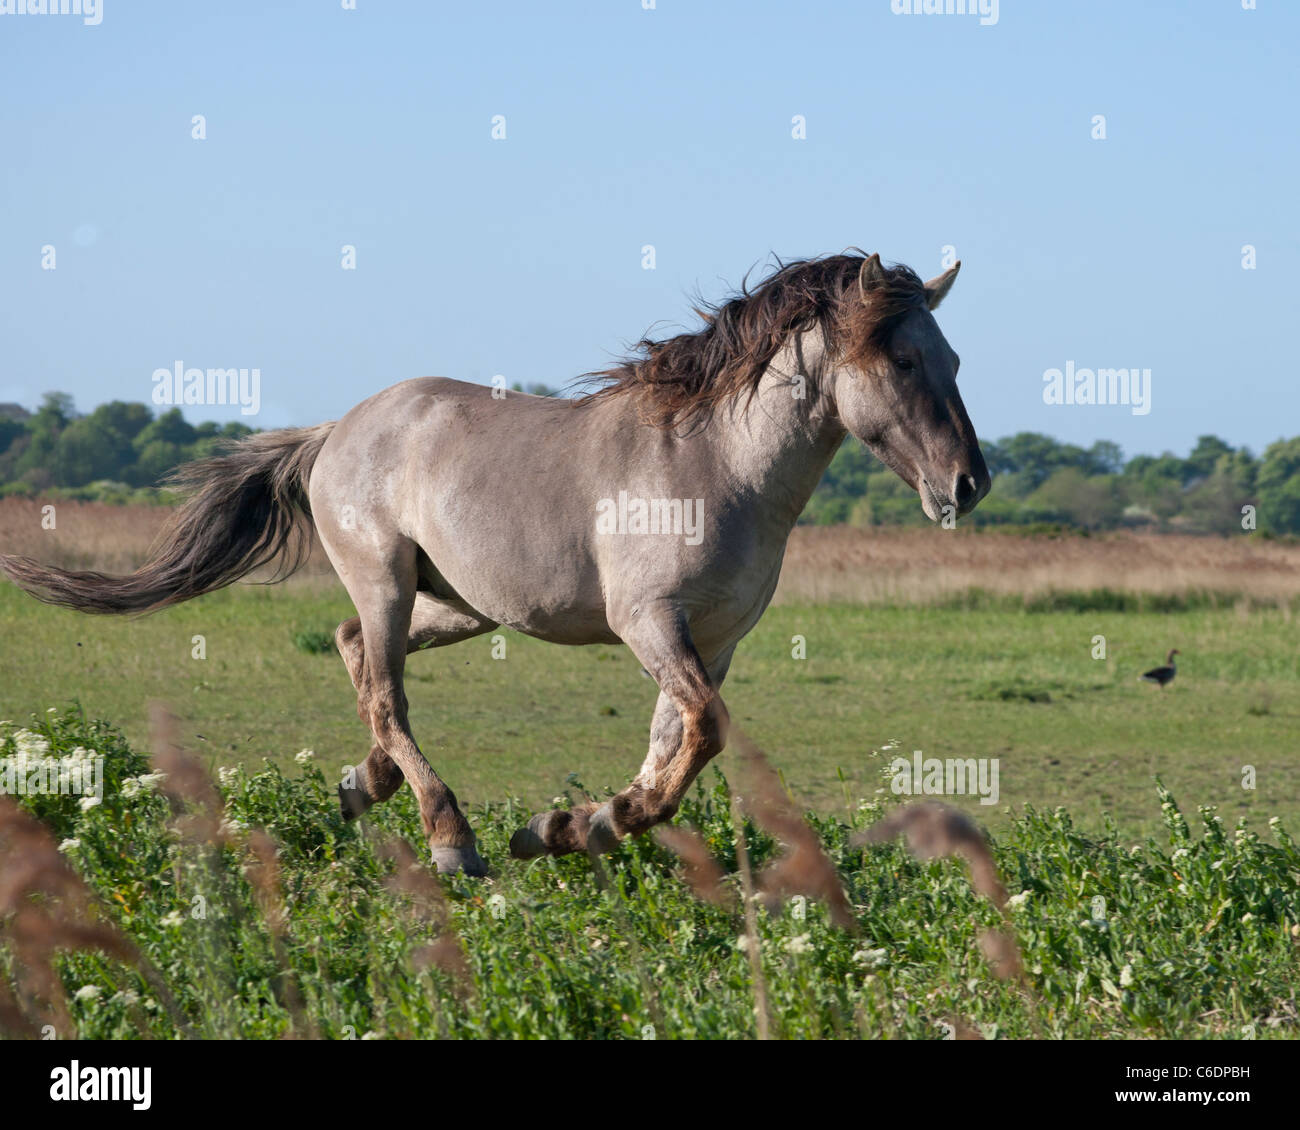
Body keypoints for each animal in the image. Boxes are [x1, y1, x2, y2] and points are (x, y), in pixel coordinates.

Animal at [0, 253, 987, 873]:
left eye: (954, 357)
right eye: (903, 358)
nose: (968, 484)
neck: (716, 464)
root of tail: (338, 428)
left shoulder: (713, 640)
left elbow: (672, 746)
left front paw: (572, 826)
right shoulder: (649, 623)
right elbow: (704, 731)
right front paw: (581, 823)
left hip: (458, 605)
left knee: (353, 649)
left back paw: (367, 785)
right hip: (391, 582)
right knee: (384, 688)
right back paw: (450, 835)